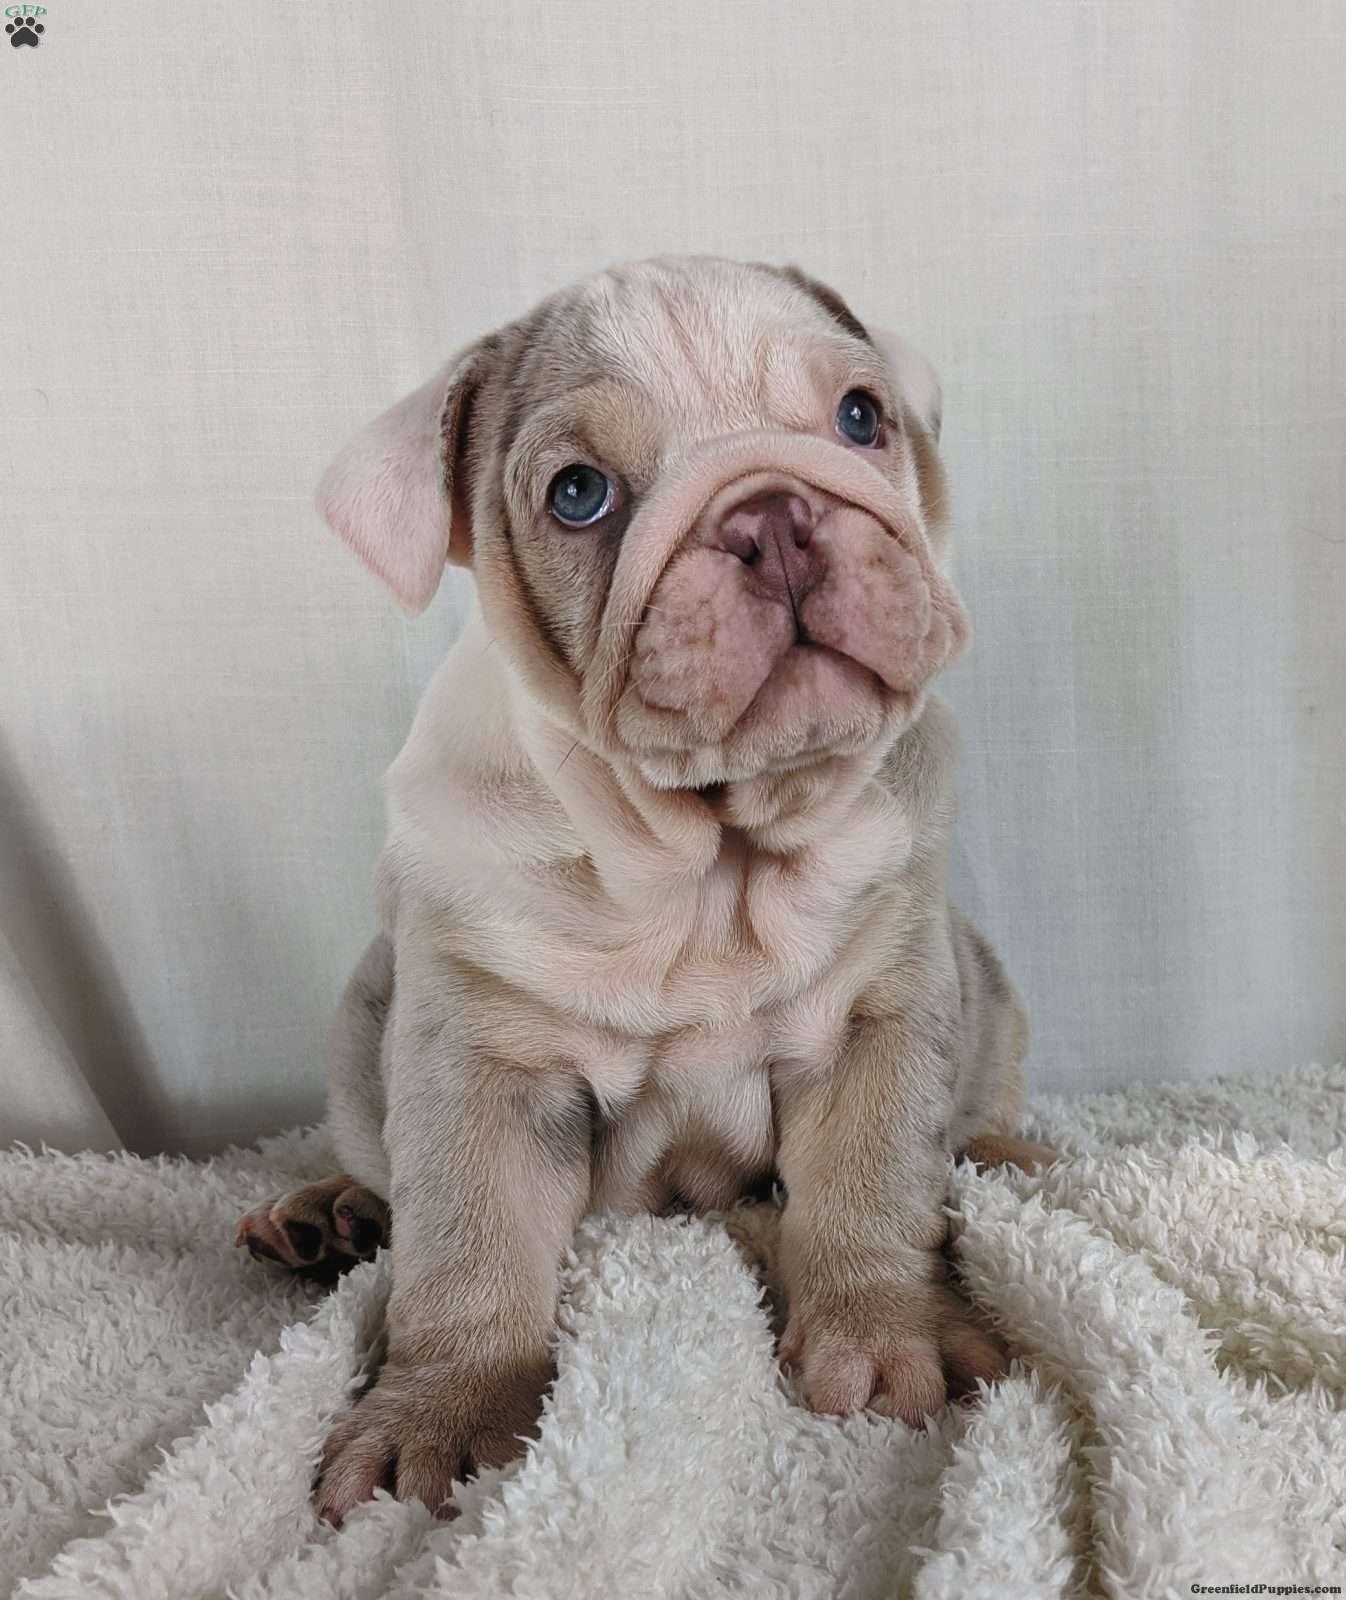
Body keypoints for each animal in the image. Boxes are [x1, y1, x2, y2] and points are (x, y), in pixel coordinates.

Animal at [238, 256, 1037, 1516]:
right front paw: (442, 1412)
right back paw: (331, 1211)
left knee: (978, 1104)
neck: (710, 863)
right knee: (387, 1179)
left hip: (988, 989)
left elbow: (869, 1185)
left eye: (861, 417)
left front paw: (883, 1335)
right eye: (578, 494)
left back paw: (1002, 1156)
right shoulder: (479, 1062)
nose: (770, 513)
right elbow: (469, 1248)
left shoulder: (880, 1012)